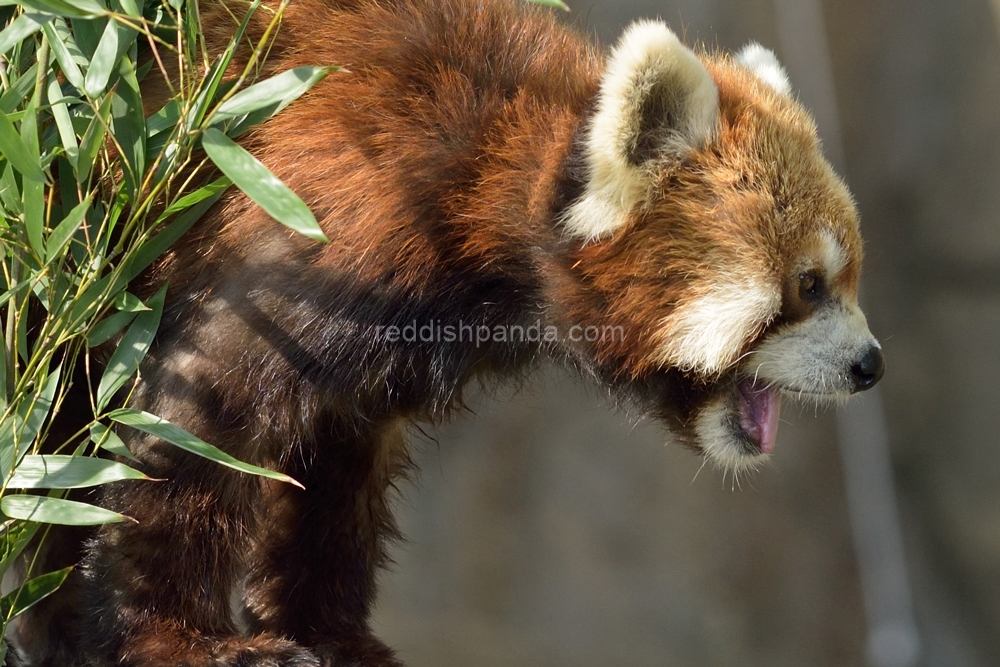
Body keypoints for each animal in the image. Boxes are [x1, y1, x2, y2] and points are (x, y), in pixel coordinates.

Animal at [9, 1, 884, 667]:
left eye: (847, 279)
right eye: (808, 284)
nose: (870, 365)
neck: (488, 179)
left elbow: (335, 473)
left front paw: (334, 634)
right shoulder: (315, 230)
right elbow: (189, 429)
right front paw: (185, 641)